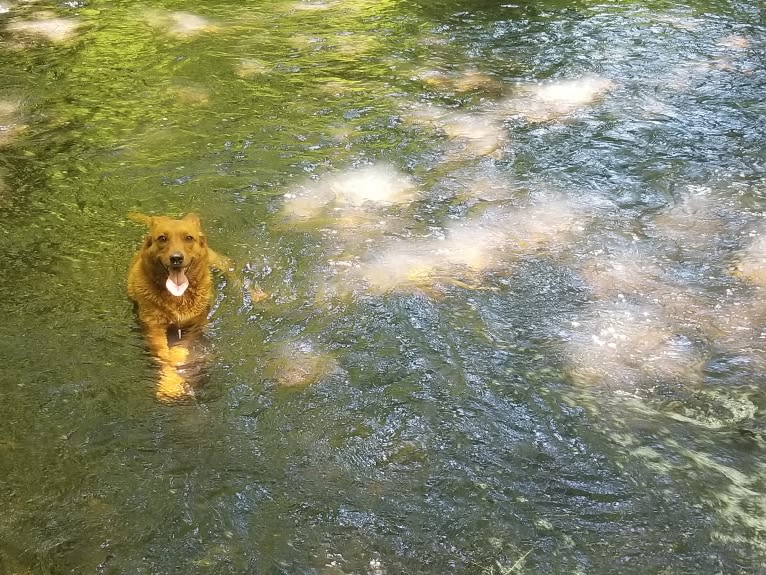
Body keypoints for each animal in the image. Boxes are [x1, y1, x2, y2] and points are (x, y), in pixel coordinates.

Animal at [128, 213, 231, 400]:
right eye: (162, 238)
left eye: (188, 238)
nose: (176, 258)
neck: (177, 297)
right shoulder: (153, 326)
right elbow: (164, 356)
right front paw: (170, 383)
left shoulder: (195, 324)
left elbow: (179, 350)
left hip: (216, 261)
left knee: (231, 267)